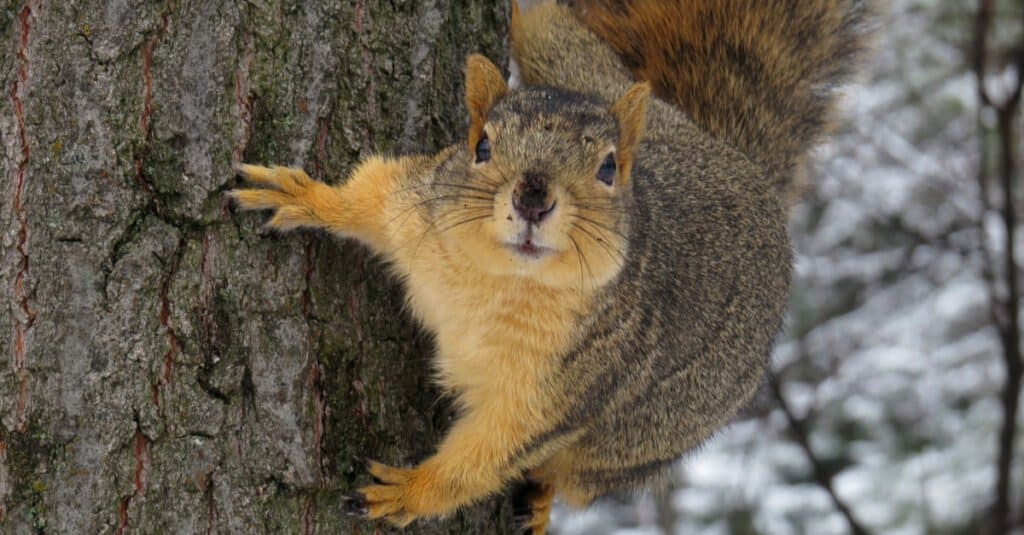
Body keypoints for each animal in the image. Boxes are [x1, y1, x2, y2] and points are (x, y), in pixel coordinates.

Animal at [230, 0, 872, 528]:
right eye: (481, 145)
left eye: (609, 168)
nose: (532, 197)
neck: (500, 277)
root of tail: (749, 174)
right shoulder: (417, 212)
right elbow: (370, 198)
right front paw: (308, 197)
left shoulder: (562, 390)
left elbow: (493, 451)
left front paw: (411, 493)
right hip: (578, 67)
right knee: (553, 31)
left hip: (635, 441)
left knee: (569, 476)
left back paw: (540, 504)